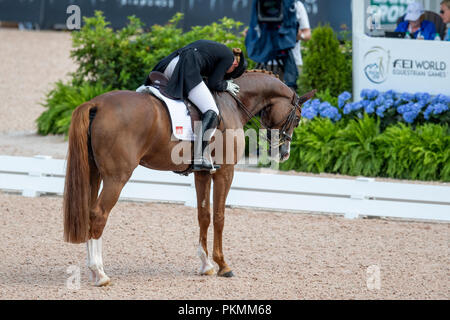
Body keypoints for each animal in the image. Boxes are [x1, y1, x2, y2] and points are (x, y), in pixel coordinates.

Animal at [64, 69, 312, 284]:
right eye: (298, 118)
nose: (284, 153)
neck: (232, 102)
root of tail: (96, 104)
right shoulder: (225, 172)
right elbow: (219, 216)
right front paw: (223, 265)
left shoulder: (202, 173)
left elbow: (204, 215)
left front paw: (206, 265)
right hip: (116, 178)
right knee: (99, 214)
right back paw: (100, 274)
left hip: (95, 173)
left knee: (89, 212)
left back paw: (92, 271)